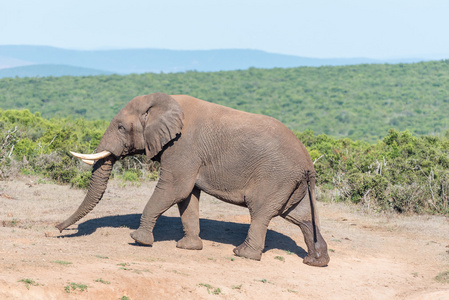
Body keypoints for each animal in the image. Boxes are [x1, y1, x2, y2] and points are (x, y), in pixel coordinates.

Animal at [56, 92, 328, 266]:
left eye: (121, 128)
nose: (56, 229)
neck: (163, 103)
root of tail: (308, 163)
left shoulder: (183, 147)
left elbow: (175, 188)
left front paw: (138, 240)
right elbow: (187, 197)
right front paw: (188, 247)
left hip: (275, 177)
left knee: (261, 212)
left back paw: (242, 254)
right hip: (292, 184)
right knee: (303, 217)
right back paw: (315, 262)